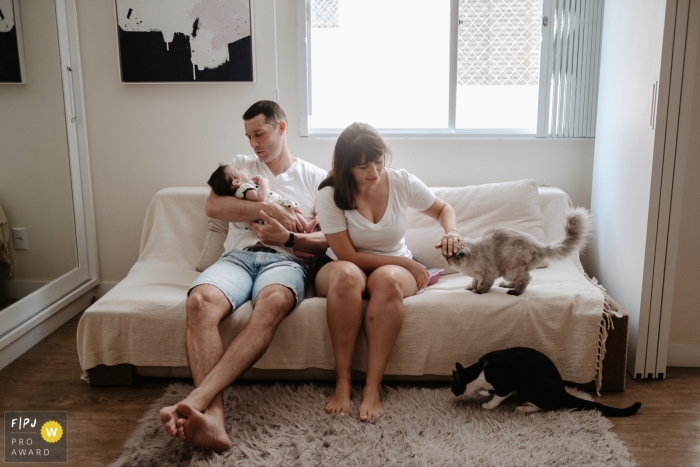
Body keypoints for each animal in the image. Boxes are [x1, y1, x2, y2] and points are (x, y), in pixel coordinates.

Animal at [442, 208, 592, 296]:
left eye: (449, 254)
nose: (445, 258)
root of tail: (540, 245)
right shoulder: (477, 276)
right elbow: (473, 282)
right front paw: (470, 288)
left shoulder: (488, 274)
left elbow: (483, 286)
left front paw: (478, 291)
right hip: (510, 271)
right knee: (517, 281)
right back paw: (505, 285)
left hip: (510, 269)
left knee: (525, 280)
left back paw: (514, 292)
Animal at [452, 348, 644, 416]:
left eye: (454, 387)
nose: (453, 394)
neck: (479, 372)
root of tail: (562, 391)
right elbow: (491, 391)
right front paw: (485, 392)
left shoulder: (507, 383)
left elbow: (499, 395)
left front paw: (489, 404)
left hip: (528, 385)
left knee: (549, 406)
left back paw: (523, 408)